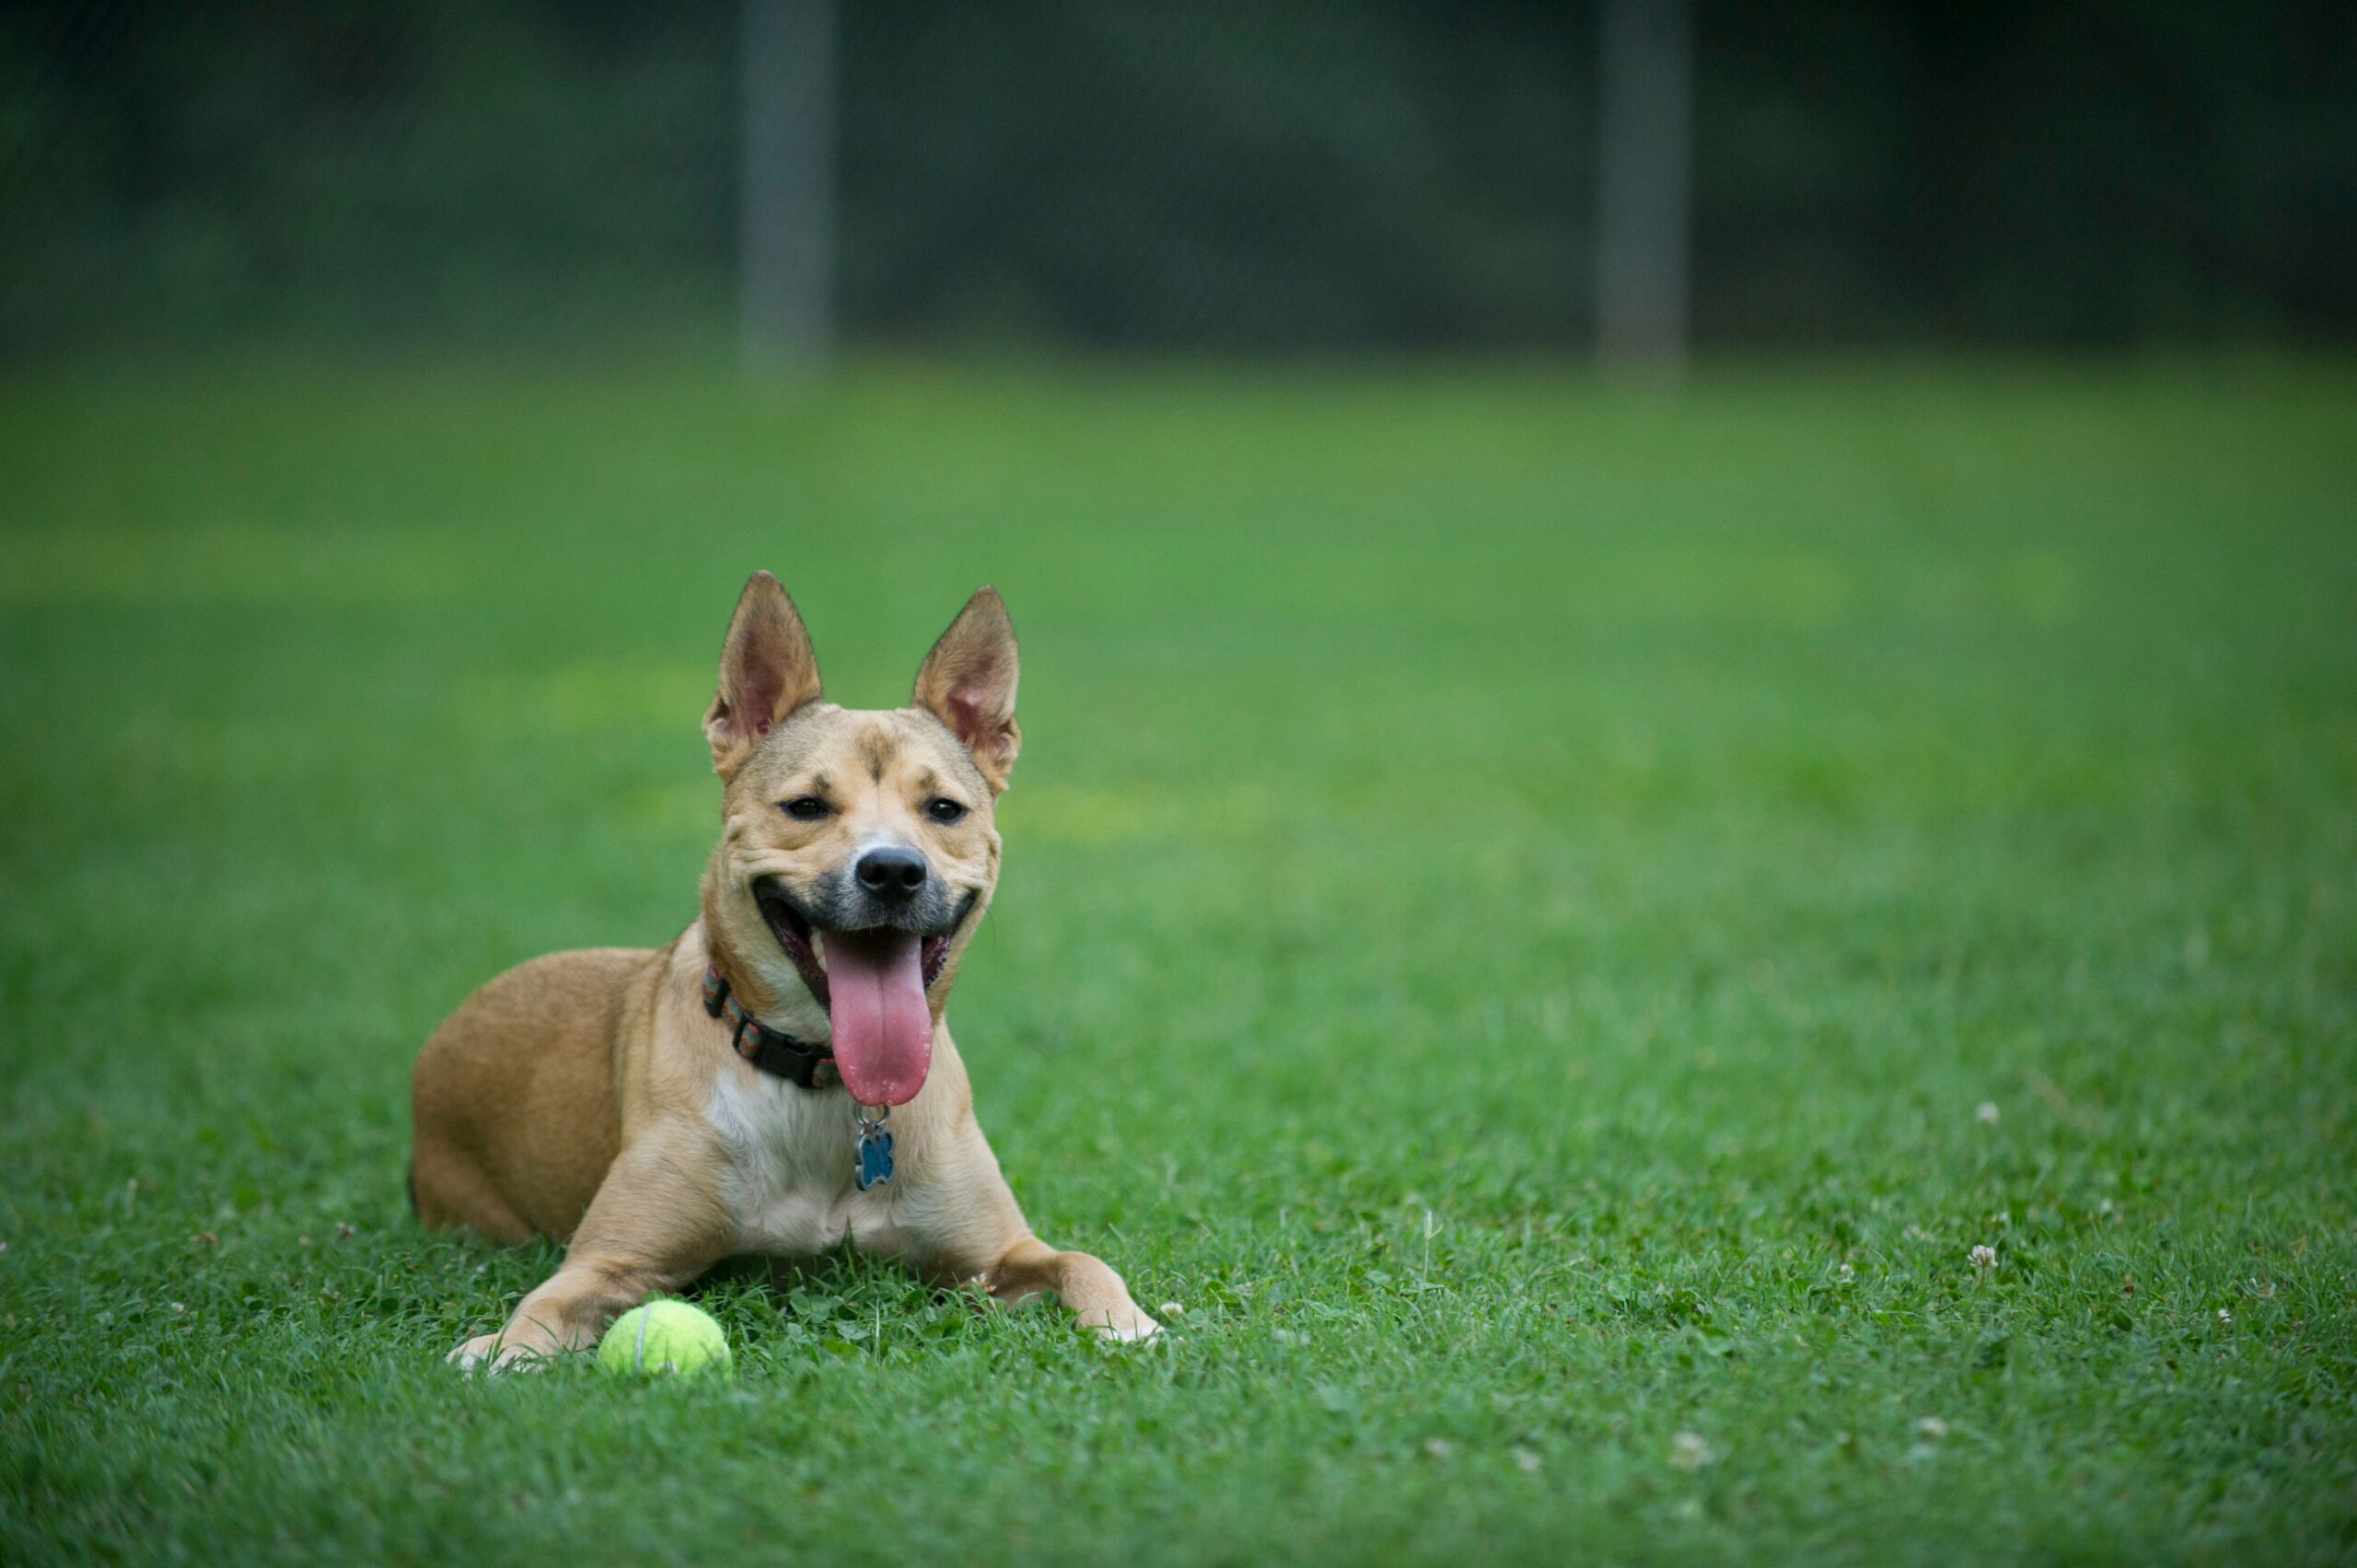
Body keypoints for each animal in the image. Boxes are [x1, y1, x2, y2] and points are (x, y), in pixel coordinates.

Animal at [419, 577, 1164, 1367]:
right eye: (806, 805)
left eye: (944, 809)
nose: (893, 871)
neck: (824, 1084)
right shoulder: (609, 1259)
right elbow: (546, 1303)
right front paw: (501, 1348)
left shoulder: (998, 1253)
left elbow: (1082, 1260)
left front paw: (1129, 1320)